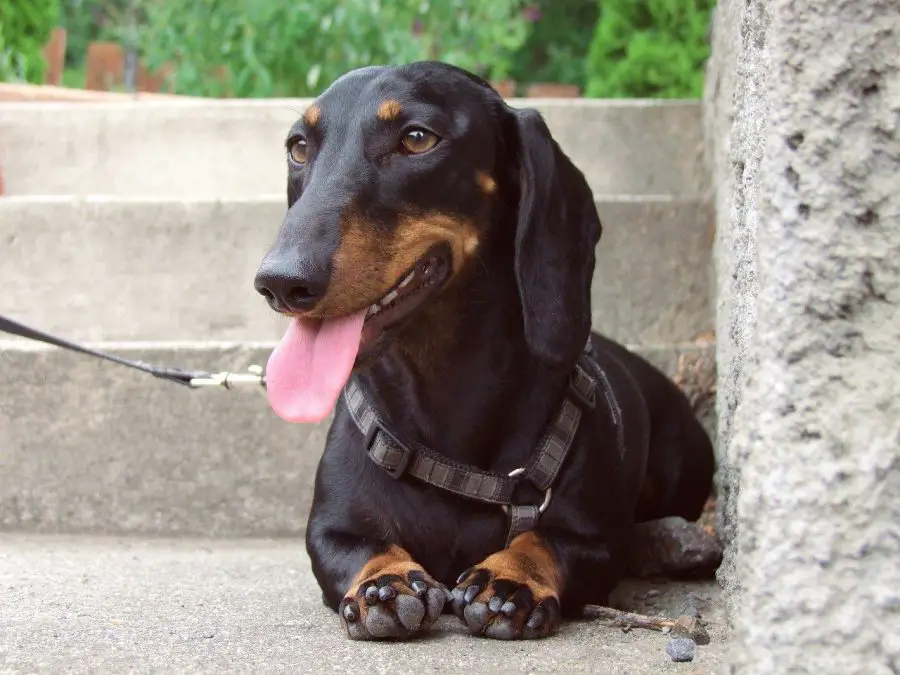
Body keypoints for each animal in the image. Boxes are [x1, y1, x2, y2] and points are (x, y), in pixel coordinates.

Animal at [255, 60, 716, 640]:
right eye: (299, 146)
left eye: (417, 138)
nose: (279, 283)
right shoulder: (330, 531)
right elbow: (357, 547)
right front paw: (385, 582)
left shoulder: (594, 540)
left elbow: (548, 541)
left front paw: (510, 577)